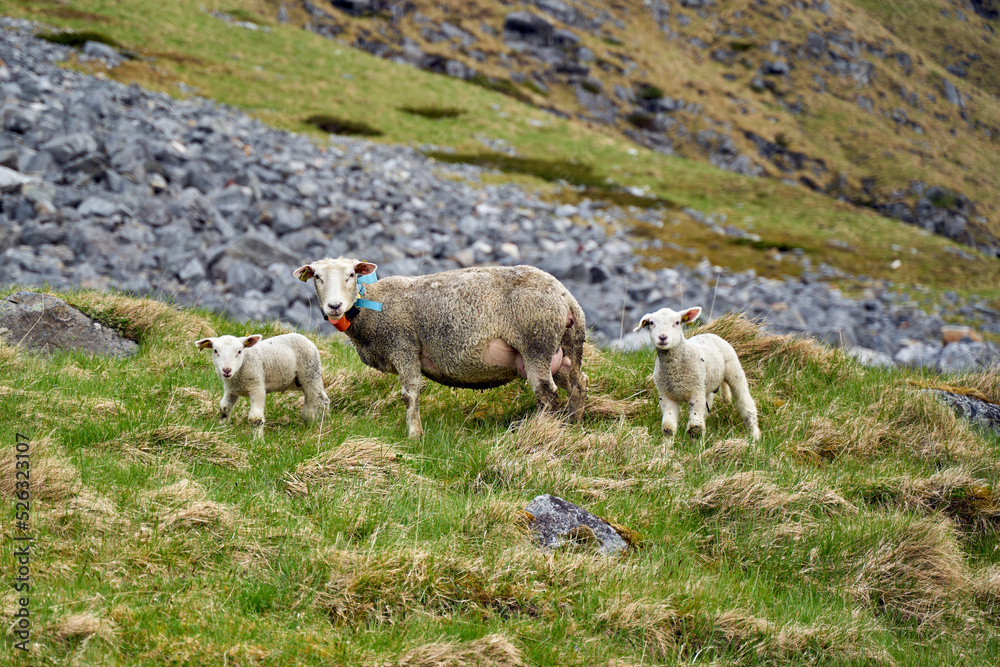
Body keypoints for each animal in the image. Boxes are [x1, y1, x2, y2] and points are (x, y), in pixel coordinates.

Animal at [194, 333, 330, 439]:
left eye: (239, 351)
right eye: (215, 351)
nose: (227, 370)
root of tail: (305, 338)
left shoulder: (257, 386)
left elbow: (255, 418)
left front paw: (258, 441)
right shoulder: (231, 389)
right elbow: (224, 408)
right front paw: (221, 429)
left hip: (310, 374)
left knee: (316, 401)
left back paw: (314, 423)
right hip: (299, 381)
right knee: (323, 399)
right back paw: (324, 419)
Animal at [293, 257, 588, 438]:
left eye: (352, 274)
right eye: (317, 277)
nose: (334, 306)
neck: (371, 306)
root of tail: (567, 298)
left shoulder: (403, 344)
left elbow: (410, 393)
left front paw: (414, 434)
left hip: (536, 341)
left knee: (546, 392)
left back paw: (541, 430)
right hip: (559, 348)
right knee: (578, 382)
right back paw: (574, 424)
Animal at [634, 306, 760, 443]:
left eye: (677, 322)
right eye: (651, 323)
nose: (662, 337)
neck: (675, 373)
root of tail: (709, 333)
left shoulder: (696, 393)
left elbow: (695, 426)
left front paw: (696, 445)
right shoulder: (666, 396)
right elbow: (668, 427)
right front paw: (666, 445)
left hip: (734, 372)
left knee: (746, 404)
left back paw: (755, 436)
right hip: (706, 385)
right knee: (708, 404)